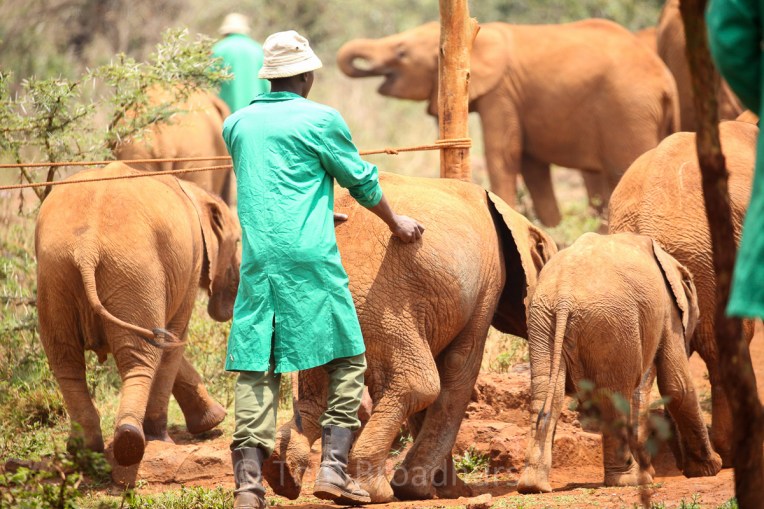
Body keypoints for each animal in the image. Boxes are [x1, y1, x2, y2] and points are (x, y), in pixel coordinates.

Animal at [35, 161, 241, 466]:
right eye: (239, 240)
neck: (193, 192)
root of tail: (86, 247)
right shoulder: (189, 265)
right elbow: (173, 339)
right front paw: (184, 431)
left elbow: (164, 335)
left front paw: (213, 421)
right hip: (134, 271)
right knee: (141, 356)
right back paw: (133, 442)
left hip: (55, 274)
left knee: (66, 360)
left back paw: (85, 449)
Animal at [258, 172, 558, 503]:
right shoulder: (489, 283)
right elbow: (457, 370)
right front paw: (430, 490)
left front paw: (438, 489)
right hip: (384, 308)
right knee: (419, 384)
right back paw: (374, 491)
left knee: (317, 393)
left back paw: (284, 474)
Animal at [337, 20, 679, 227]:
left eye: (401, 53)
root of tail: (667, 83)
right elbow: (532, 167)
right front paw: (549, 230)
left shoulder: (501, 93)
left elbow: (503, 155)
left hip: (629, 110)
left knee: (625, 168)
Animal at [517, 232, 722, 494]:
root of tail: (563, 294)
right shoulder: (668, 312)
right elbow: (677, 386)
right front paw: (710, 468)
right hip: (610, 323)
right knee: (613, 399)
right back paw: (629, 480)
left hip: (542, 322)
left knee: (545, 397)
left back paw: (533, 485)